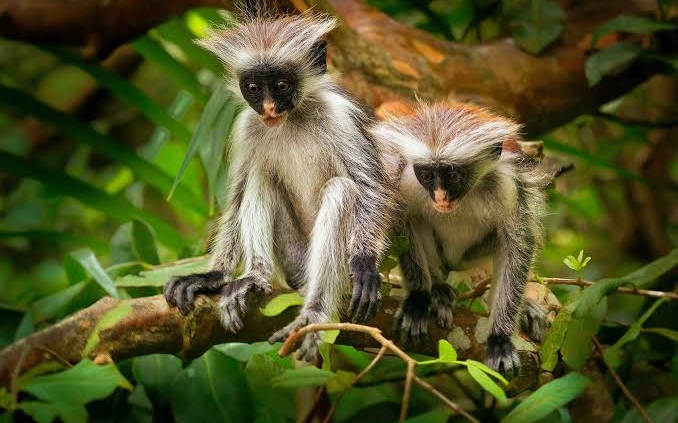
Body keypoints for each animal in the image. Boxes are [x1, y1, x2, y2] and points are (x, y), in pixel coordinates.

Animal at [163, 11, 395, 361]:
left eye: (282, 85)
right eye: (253, 88)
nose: (270, 107)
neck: (290, 122)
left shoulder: (339, 116)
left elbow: (370, 187)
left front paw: (365, 264)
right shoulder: (246, 126)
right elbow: (237, 198)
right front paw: (212, 276)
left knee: (341, 190)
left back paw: (314, 314)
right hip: (292, 257)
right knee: (260, 178)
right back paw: (254, 278)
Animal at [373, 102, 550, 375]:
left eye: (454, 176)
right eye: (427, 176)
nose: (440, 197)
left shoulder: (506, 185)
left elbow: (517, 244)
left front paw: (500, 338)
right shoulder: (406, 181)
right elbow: (402, 222)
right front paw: (419, 299)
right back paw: (437, 290)